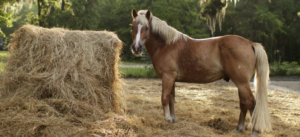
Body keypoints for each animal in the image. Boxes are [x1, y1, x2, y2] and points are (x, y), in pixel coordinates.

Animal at [129, 8, 272, 136]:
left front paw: (167, 119)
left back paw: (255, 131)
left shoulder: (167, 77)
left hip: (241, 82)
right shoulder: (172, 79)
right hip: (241, 83)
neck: (166, 45)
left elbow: (164, 98)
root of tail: (250, 43)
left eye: (147, 28)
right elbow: (171, 98)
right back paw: (239, 129)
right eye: (133, 27)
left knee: (251, 102)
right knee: (243, 103)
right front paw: (173, 119)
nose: (136, 48)